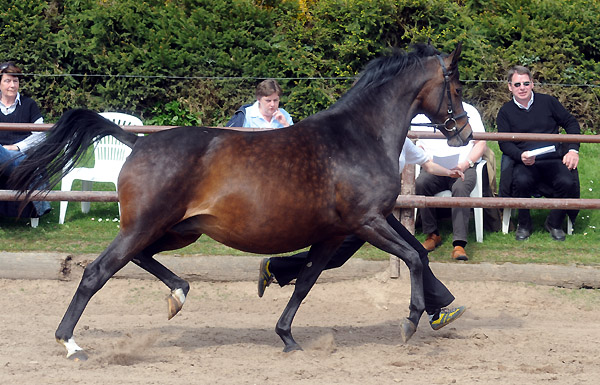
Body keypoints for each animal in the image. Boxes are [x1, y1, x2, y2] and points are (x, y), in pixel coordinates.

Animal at [8, 42, 474, 360]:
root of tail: (138, 144)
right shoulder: (367, 221)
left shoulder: (337, 232)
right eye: (454, 85)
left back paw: (178, 295)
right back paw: (71, 343)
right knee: (96, 272)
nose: (465, 134)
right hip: (145, 226)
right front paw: (411, 322)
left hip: (177, 231)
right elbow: (411, 258)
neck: (357, 137)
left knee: (140, 260)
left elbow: (307, 280)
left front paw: (287, 337)